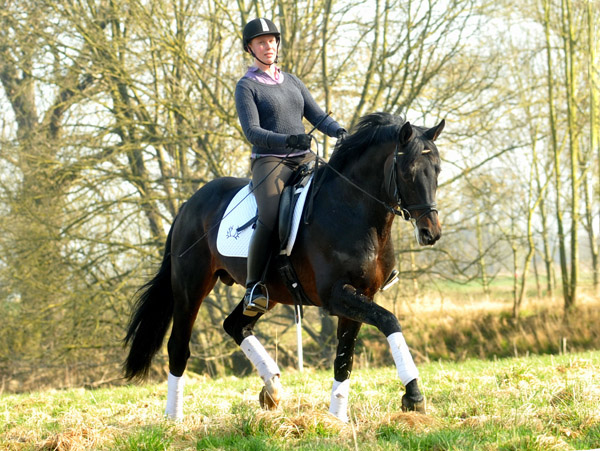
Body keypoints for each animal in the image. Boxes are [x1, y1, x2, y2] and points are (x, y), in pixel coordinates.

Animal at [123, 111, 440, 422]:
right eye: (408, 171)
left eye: (437, 170)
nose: (431, 233)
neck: (351, 211)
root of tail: (188, 205)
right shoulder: (336, 296)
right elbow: (389, 321)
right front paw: (413, 396)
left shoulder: (361, 295)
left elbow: (344, 358)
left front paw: (336, 418)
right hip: (191, 288)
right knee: (179, 346)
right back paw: (174, 420)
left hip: (268, 293)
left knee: (235, 325)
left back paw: (272, 389)